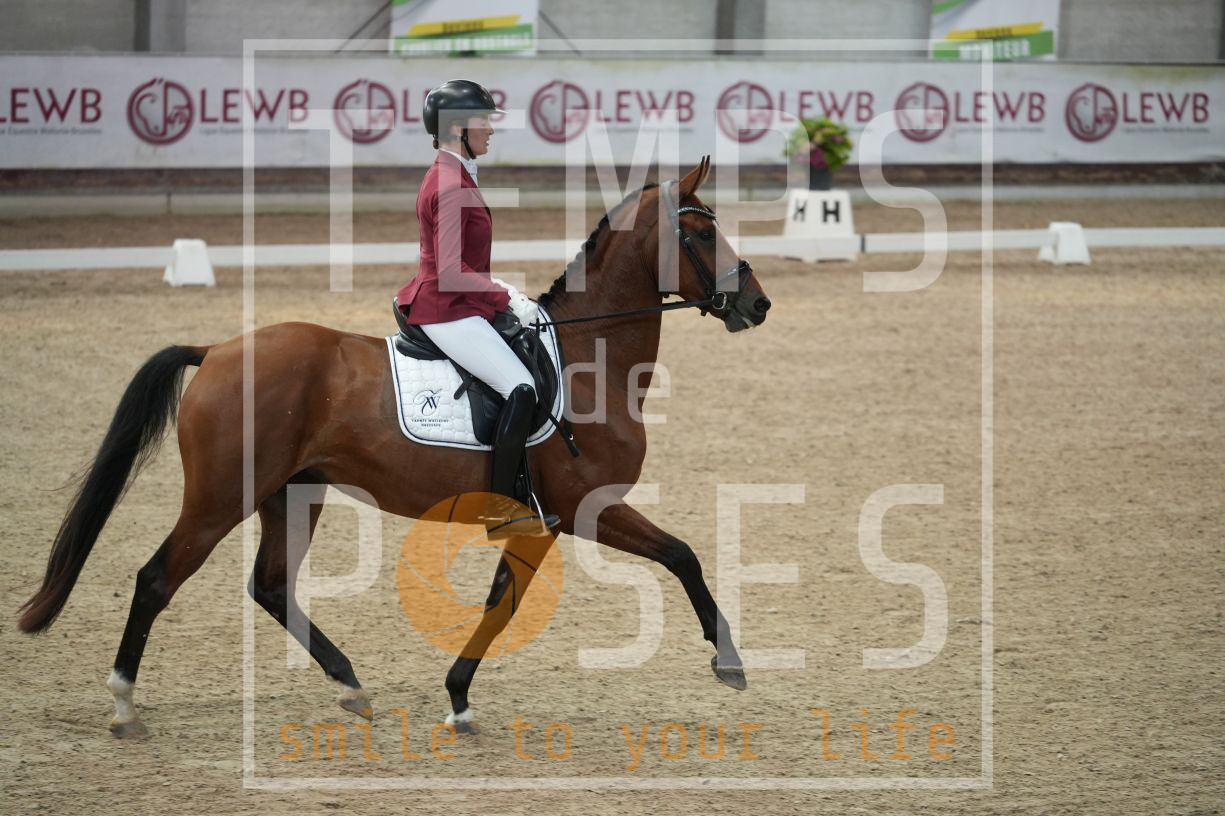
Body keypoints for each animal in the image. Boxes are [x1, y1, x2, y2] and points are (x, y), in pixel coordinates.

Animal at [17, 157, 772, 737]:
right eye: (701, 231)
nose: (757, 304)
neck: (592, 358)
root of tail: (218, 351)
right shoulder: (586, 507)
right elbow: (682, 555)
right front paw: (728, 661)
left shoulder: (542, 522)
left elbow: (501, 603)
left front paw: (458, 698)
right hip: (220, 497)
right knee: (157, 579)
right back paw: (124, 706)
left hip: (293, 492)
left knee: (270, 585)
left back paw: (350, 685)